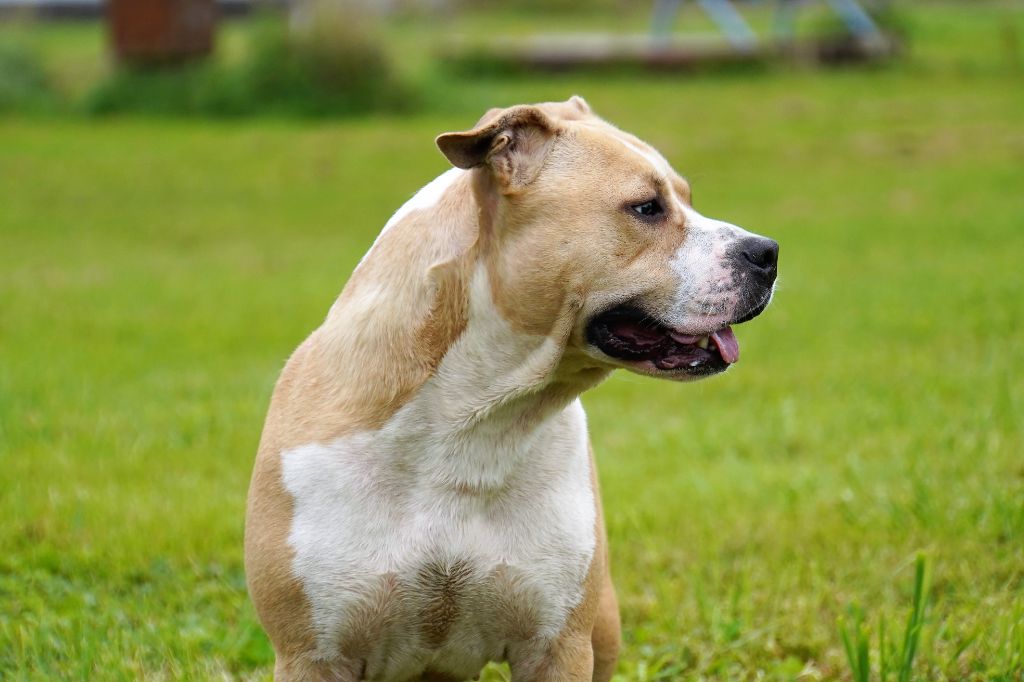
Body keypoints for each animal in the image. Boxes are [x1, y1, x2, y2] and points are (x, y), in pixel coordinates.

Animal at [245, 96, 778, 681]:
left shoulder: (557, 646)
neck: (474, 419)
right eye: (646, 208)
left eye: (685, 198)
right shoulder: (312, 654)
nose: (768, 252)